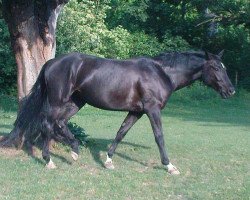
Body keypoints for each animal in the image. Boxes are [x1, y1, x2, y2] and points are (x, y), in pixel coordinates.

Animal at [1, 50, 234, 175]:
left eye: (224, 66)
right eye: (215, 67)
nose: (230, 90)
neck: (161, 73)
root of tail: (51, 63)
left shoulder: (136, 111)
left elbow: (121, 132)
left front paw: (108, 160)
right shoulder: (152, 110)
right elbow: (159, 136)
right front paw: (169, 166)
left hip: (77, 102)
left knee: (60, 123)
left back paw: (75, 150)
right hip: (58, 101)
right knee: (48, 124)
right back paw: (49, 160)